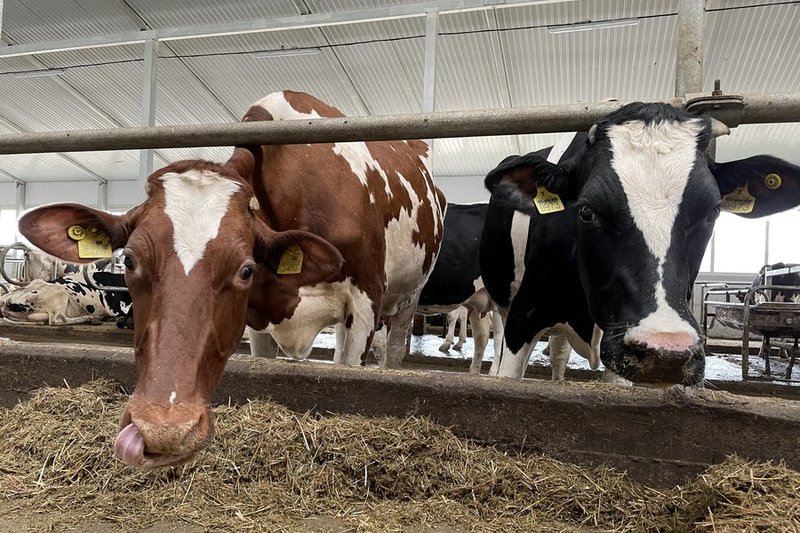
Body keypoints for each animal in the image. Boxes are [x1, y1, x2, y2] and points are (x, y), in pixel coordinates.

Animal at [18, 90, 446, 466]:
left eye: (245, 269)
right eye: (130, 261)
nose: (163, 429)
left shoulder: (364, 303)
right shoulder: (256, 324)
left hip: (406, 301)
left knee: (392, 351)